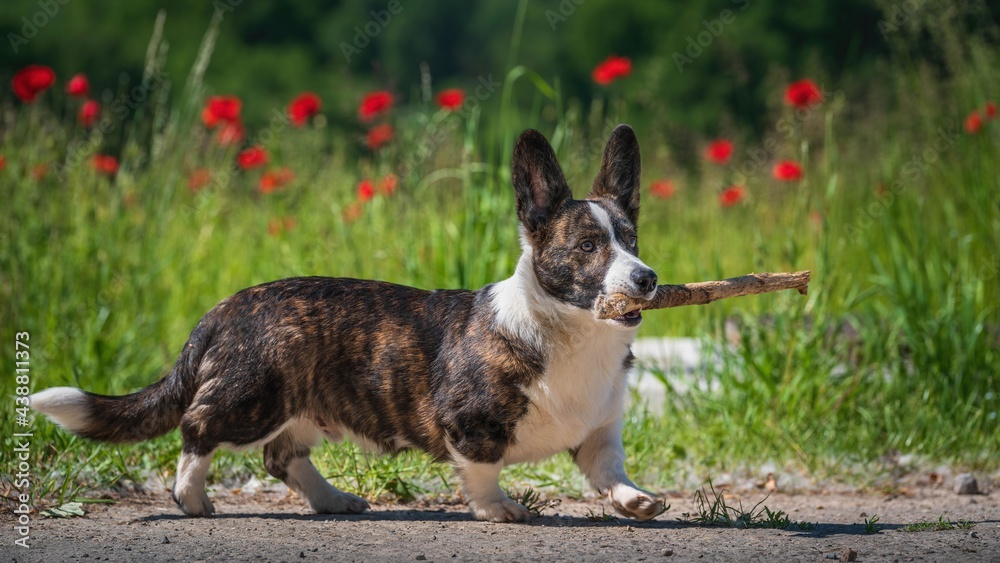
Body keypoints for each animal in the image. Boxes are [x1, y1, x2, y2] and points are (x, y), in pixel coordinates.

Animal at [31, 124, 665, 522]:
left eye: (631, 241)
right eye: (587, 247)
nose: (647, 278)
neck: (575, 336)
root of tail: (223, 310)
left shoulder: (599, 431)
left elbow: (609, 469)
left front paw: (636, 501)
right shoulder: (470, 424)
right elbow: (482, 471)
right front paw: (499, 509)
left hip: (301, 406)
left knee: (281, 457)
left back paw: (333, 499)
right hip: (254, 398)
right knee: (198, 426)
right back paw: (191, 497)